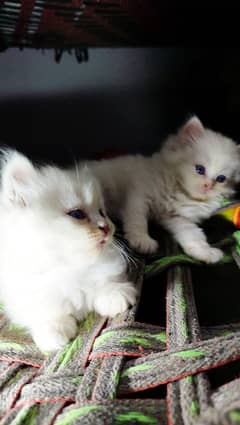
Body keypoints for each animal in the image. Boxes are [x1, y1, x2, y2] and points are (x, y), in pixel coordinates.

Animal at [0, 151, 137, 350]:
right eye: (77, 214)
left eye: (102, 212)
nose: (106, 227)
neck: (70, 266)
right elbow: (45, 311)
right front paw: (54, 332)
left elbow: (105, 282)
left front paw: (116, 295)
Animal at [90, 116, 240, 262]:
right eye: (200, 169)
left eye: (221, 179)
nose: (208, 186)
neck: (180, 190)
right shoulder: (140, 196)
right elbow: (138, 221)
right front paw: (142, 240)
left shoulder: (178, 218)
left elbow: (194, 235)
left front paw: (205, 252)